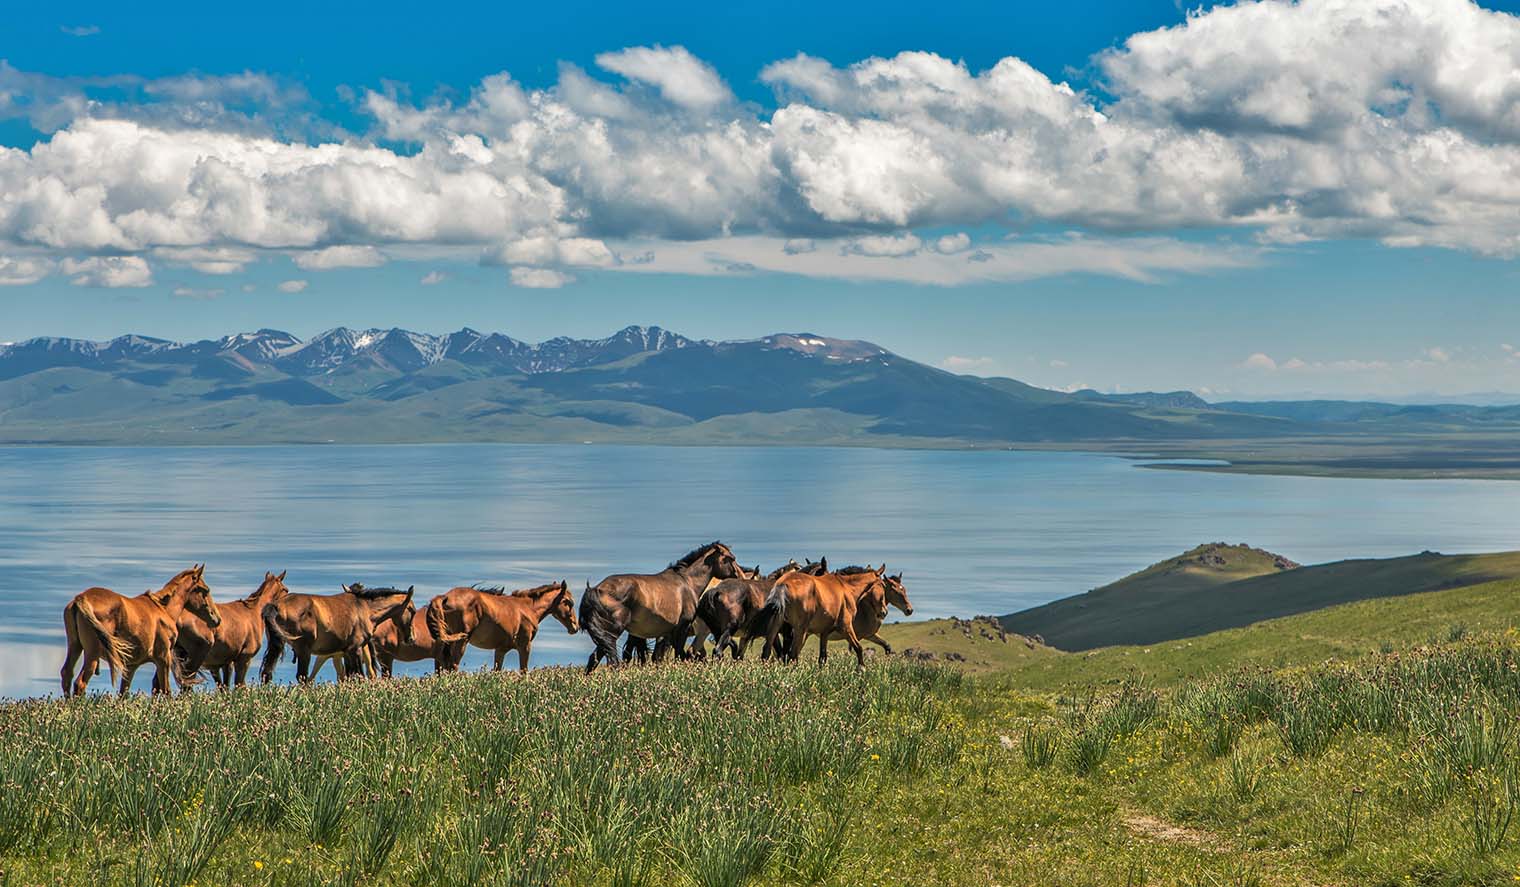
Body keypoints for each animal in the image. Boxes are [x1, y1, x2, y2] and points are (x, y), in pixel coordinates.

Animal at [61, 565, 221, 695]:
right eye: (206, 590)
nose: (216, 618)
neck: (163, 609)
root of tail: (81, 598)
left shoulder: (131, 666)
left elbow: (124, 693)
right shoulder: (163, 658)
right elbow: (165, 690)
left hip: (75, 647)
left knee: (66, 675)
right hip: (92, 654)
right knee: (80, 683)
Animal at [261, 586, 416, 683]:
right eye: (413, 611)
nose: (411, 638)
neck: (365, 608)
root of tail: (276, 606)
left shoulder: (347, 653)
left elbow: (349, 677)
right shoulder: (355, 650)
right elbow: (359, 676)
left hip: (277, 646)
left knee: (266, 674)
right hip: (303, 650)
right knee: (302, 677)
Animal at [425, 583, 577, 671]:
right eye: (569, 602)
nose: (575, 626)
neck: (527, 608)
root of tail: (445, 597)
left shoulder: (501, 650)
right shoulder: (525, 645)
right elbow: (524, 670)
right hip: (461, 641)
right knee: (453, 665)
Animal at [574, 540, 741, 671]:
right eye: (730, 558)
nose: (738, 576)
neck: (688, 583)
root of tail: (595, 590)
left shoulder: (666, 633)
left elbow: (660, 656)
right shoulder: (681, 628)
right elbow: (679, 655)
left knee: (594, 659)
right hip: (613, 631)